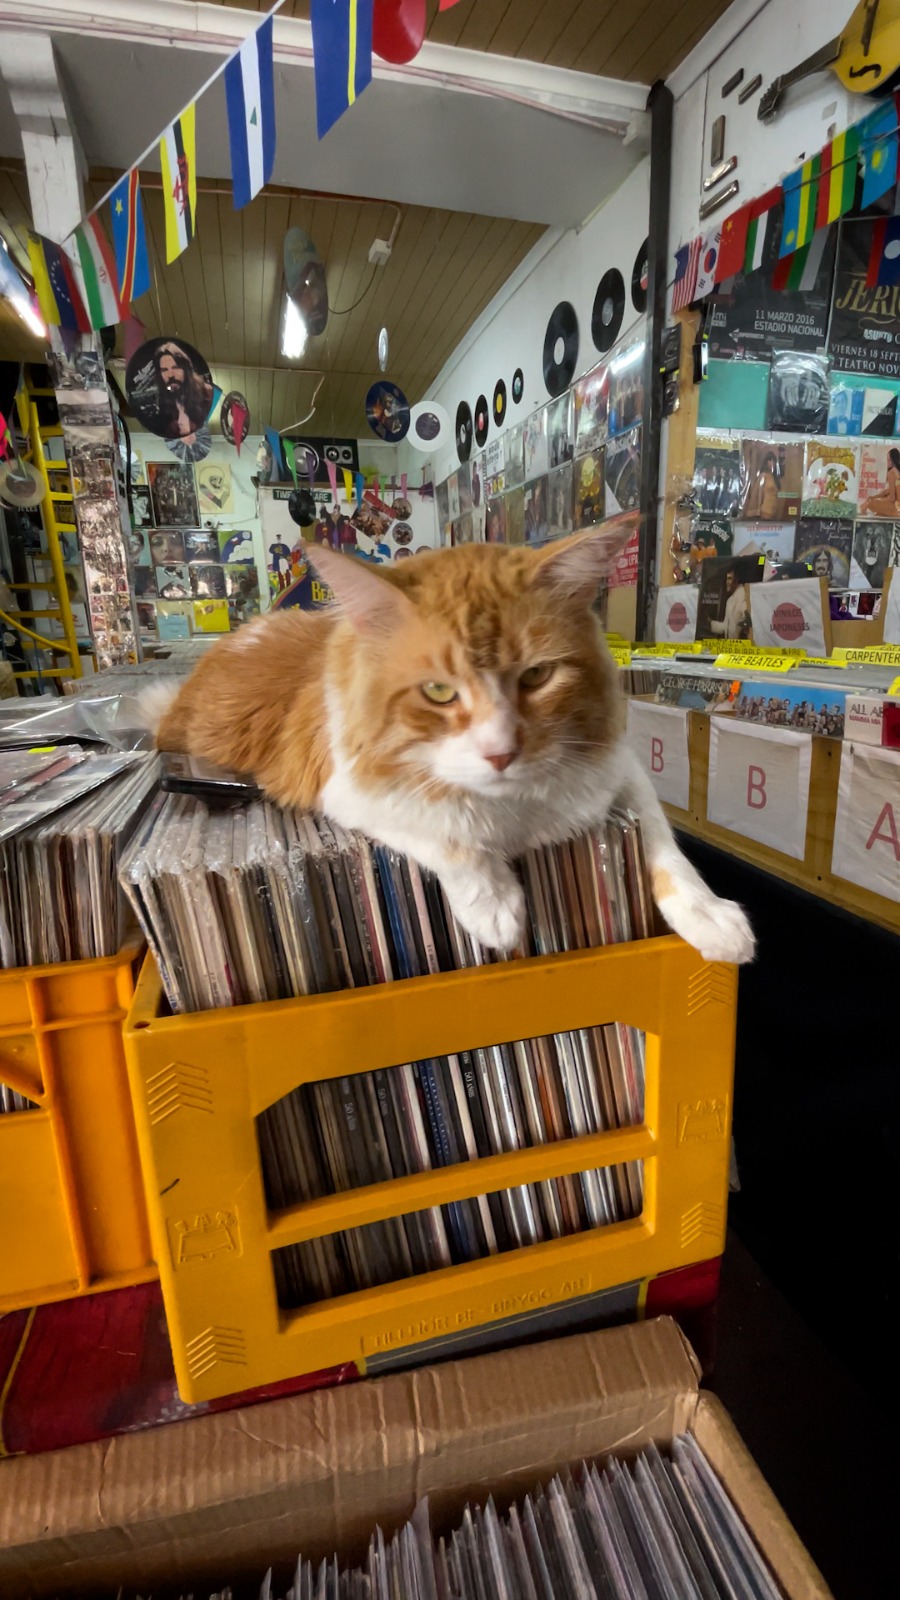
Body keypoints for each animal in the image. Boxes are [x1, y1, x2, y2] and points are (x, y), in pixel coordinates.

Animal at [152, 520, 754, 965]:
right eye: (439, 691)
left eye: (537, 677)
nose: (501, 753)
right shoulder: (347, 789)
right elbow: (445, 829)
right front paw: (497, 905)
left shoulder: (617, 766)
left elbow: (662, 842)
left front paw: (710, 917)